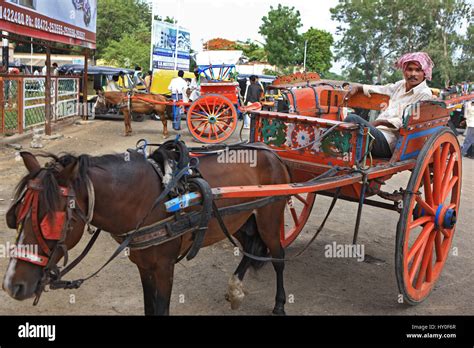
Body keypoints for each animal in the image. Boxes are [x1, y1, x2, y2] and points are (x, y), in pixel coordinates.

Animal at [2, 147, 292, 316]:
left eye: (52, 221)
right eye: (15, 217)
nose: (12, 284)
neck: (149, 200)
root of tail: (273, 156)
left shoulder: (164, 267)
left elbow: (161, 309)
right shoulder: (144, 266)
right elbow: (148, 308)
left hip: (269, 217)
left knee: (277, 256)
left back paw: (279, 304)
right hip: (240, 219)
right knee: (251, 249)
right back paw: (235, 289)